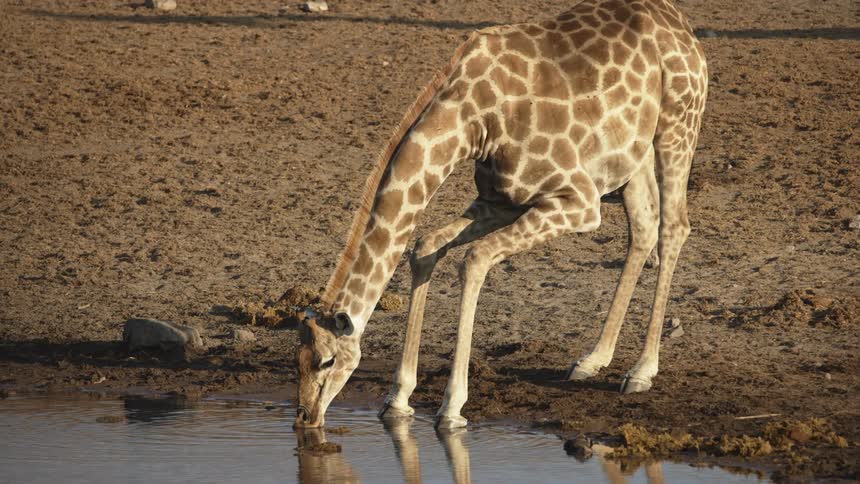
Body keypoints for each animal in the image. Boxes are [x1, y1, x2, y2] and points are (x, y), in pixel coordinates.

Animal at [295, 0, 707, 430]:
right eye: (296, 361)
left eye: (327, 361)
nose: (305, 417)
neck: (472, 123)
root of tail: (678, 20)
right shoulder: (501, 200)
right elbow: (425, 247)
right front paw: (398, 399)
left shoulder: (578, 200)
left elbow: (474, 259)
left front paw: (452, 407)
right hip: (630, 157)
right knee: (643, 227)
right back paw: (592, 361)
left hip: (678, 127)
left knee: (674, 227)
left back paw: (642, 371)